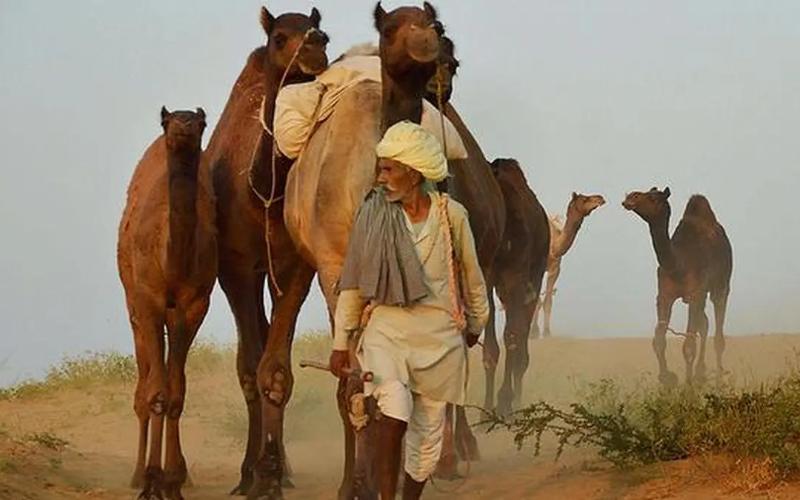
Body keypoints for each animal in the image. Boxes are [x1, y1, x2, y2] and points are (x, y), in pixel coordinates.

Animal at [117, 107, 216, 500]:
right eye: (166, 120)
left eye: (201, 122)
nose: (183, 125)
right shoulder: (147, 300)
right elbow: (155, 393)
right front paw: (151, 479)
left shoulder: (194, 304)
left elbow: (176, 393)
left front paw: (171, 480)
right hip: (133, 304)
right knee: (143, 385)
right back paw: (135, 473)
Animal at [198, 7, 329, 496]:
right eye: (280, 36)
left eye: (320, 30)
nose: (315, 46)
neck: (263, 194)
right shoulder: (236, 269)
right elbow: (251, 368)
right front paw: (256, 473)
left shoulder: (294, 269)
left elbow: (274, 371)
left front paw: (271, 473)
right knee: (246, 361)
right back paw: (245, 471)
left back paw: (280, 468)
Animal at [282, 4, 445, 498]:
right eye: (390, 27)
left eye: (435, 22)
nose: (427, 40)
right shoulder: (337, 268)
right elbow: (351, 382)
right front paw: (357, 484)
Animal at [531, 192, 606, 338]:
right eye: (585, 199)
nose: (600, 198)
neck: (553, 246)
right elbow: (537, 300)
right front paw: (535, 332)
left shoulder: (555, 268)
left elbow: (548, 301)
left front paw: (547, 333)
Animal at [623, 187, 733, 385]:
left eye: (653, 197)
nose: (630, 197)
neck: (678, 264)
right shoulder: (664, 296)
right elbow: (659, 340)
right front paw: (667, 379)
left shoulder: (696, 293)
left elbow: (688, 345)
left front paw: (687, 385)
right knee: (704, 324)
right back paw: (700, 373)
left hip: (721, 286)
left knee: (718, 334)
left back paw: (718, 379)